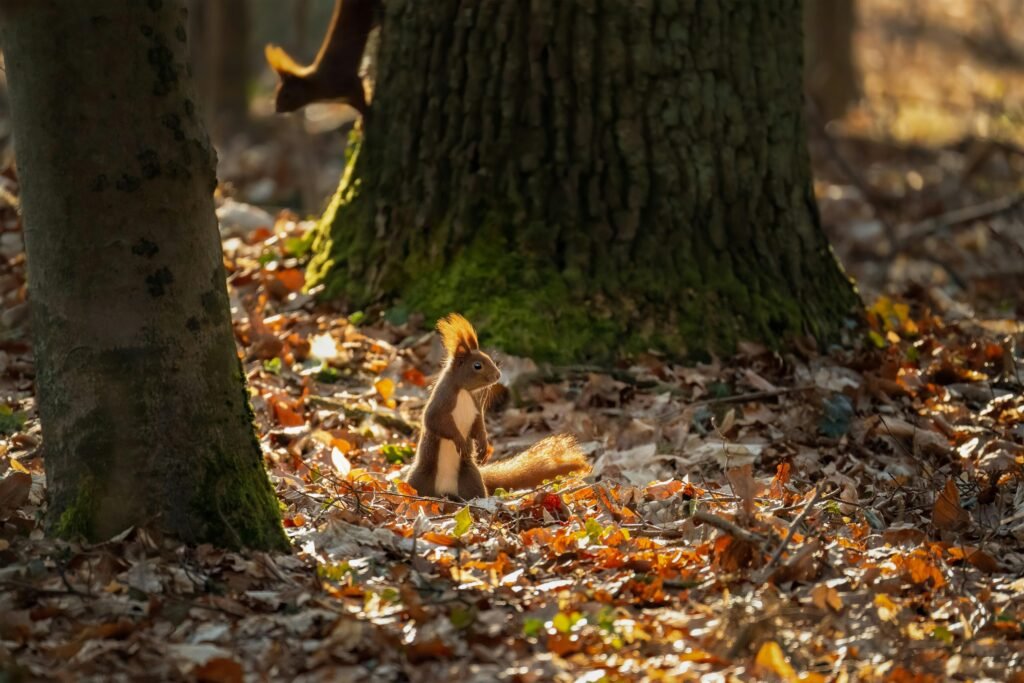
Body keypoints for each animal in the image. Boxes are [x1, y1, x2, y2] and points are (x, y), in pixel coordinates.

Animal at [403, 315, 589, 501]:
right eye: (477, 365)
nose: (498, 375)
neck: (463, 391)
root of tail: (444, 492)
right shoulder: (441, 402)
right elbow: (434, 421)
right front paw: (460, 440)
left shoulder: (476, 407)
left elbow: (479, 425)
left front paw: (484, 445)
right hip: (420, 477)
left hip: (470, 477)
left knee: (477, 493)